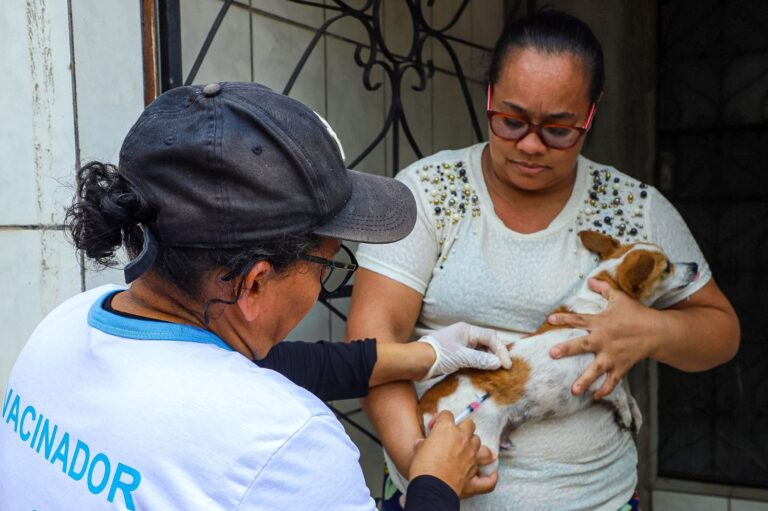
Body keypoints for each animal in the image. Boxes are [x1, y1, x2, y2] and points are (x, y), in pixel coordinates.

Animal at [416, 230, 700, 474]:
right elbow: (619, 392)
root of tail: (425, 404)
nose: (695, 265)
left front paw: (634, 412)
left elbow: (626, 391)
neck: (600, 305)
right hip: (482, 446)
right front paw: (626, 411)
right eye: (667, 267)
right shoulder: (595, 375)